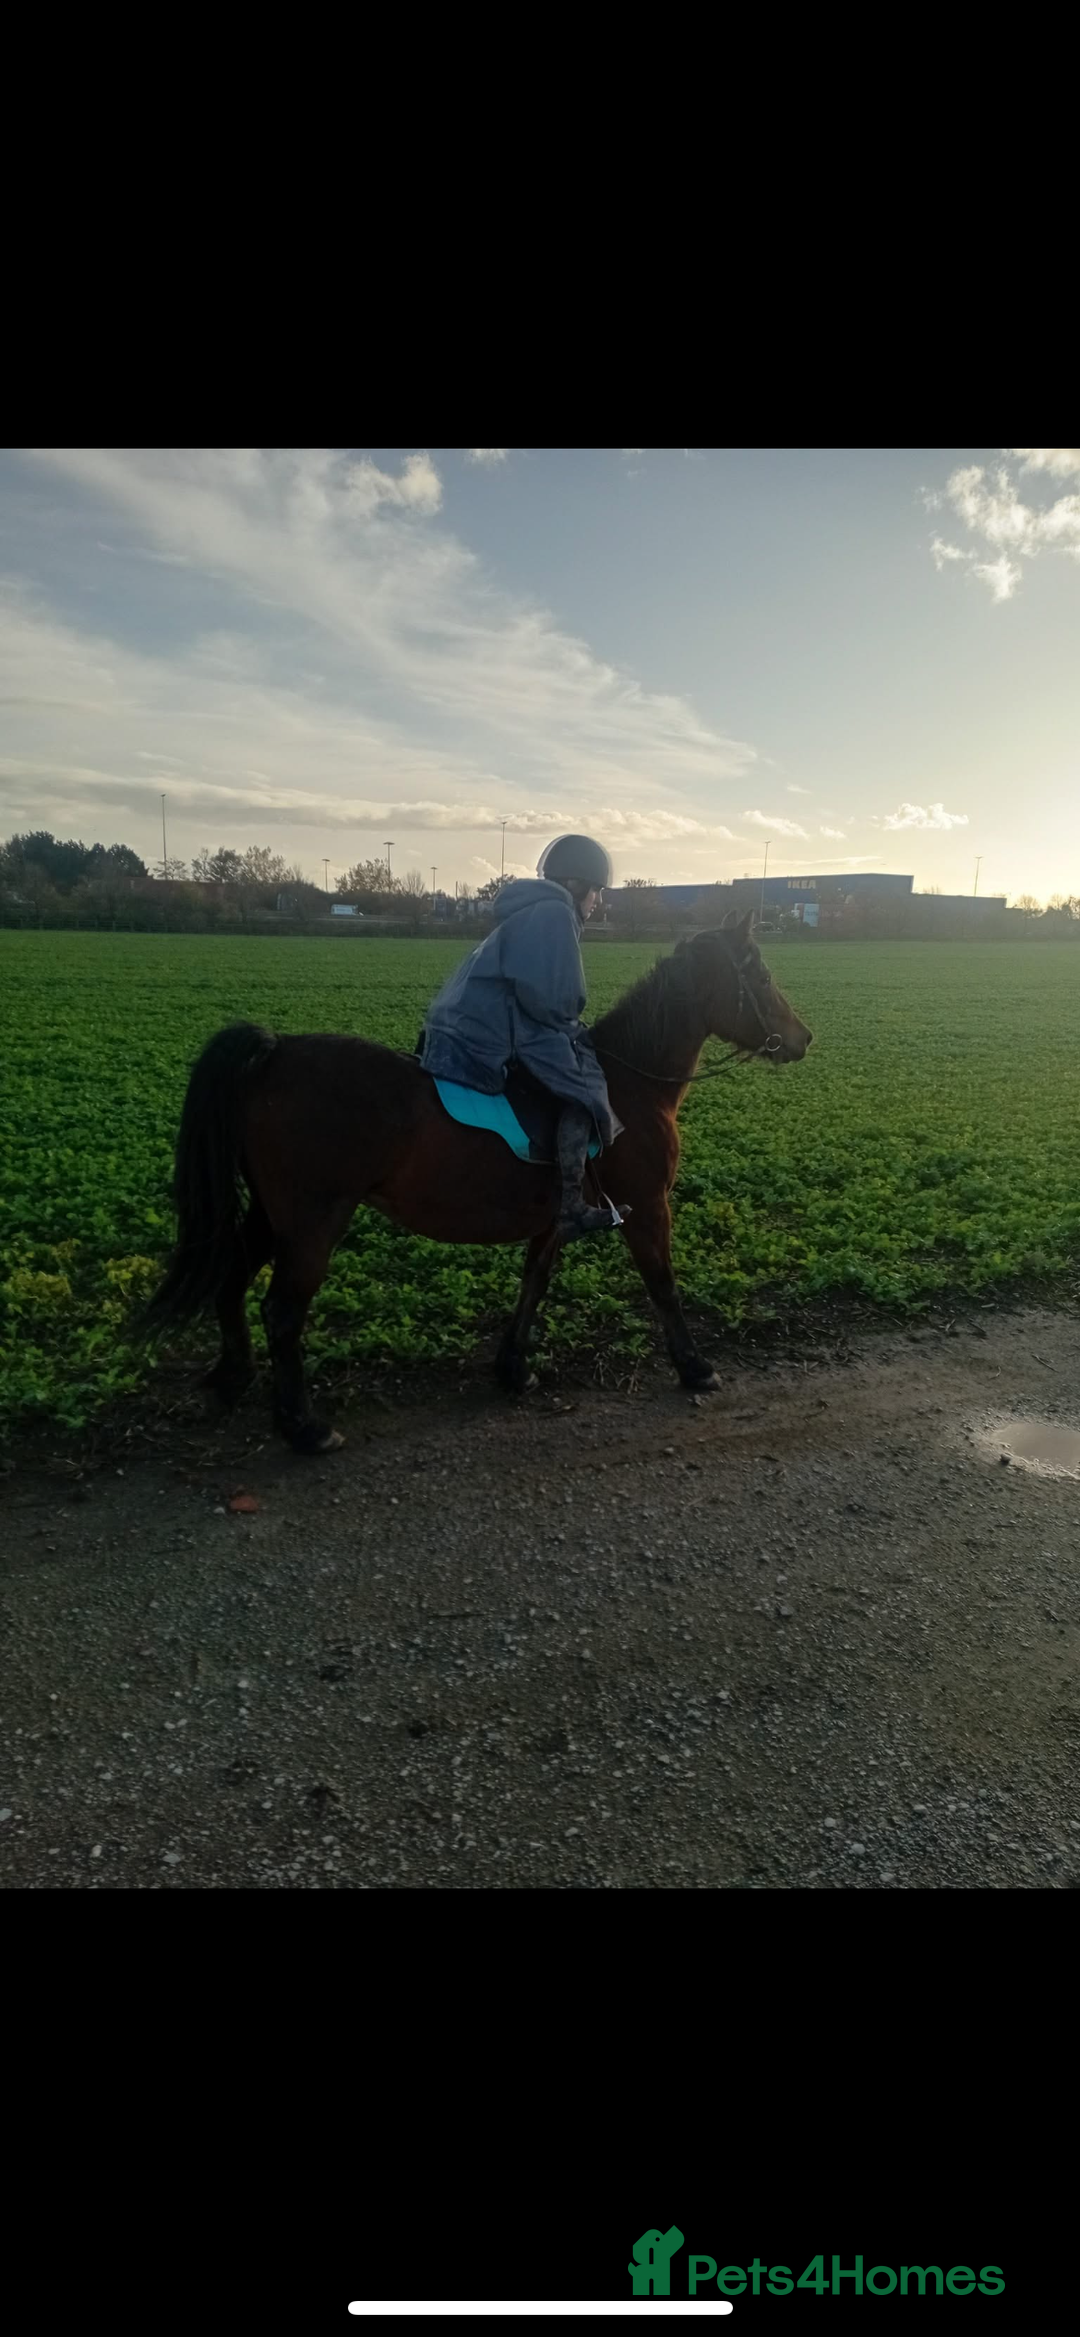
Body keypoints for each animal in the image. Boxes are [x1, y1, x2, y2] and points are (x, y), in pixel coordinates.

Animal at [144, 911, 812, 1452]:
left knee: (231, 1279)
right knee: (282, 1311)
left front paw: (513, 1367)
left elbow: (534, 1283)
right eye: (762, 976)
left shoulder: (556, 1217)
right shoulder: (647, 1206)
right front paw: (695, 1367)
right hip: (313, 1222)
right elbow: (663, 1285)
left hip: (270, 1214)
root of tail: (275, 1051)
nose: (804, 1038)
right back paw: (304, 1427)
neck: (631, 1083)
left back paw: (231, 1379)